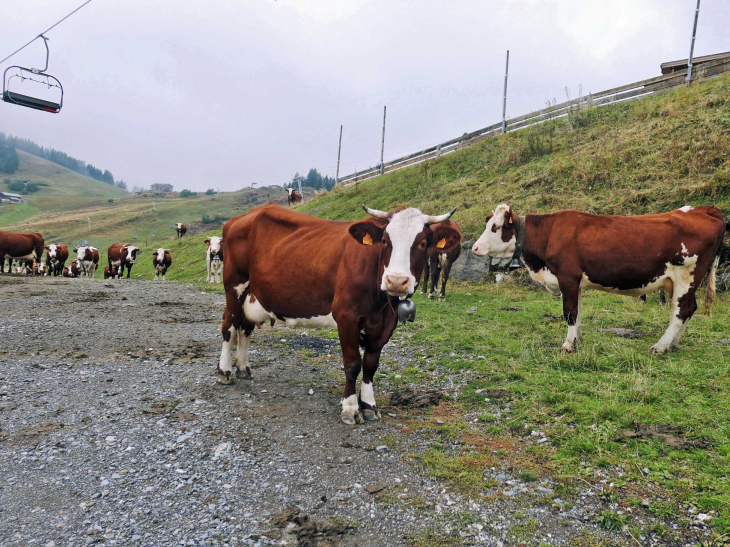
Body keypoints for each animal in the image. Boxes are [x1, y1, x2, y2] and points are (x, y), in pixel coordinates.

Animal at [216, 203, 458, 426]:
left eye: (422, 243)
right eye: (386, 242)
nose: (396, 281)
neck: (380, 301)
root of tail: (245, 215)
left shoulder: (385, 324)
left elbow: (371, 365)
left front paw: (369, 405)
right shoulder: (346, 317)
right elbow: (353, 364)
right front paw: (350, 408)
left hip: (254, 292)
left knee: (245, 327)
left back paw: (243, 367)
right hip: (235, 284)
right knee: (229, 325)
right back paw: (225, 371)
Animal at [470, 206, 724, 356]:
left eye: (495, 227)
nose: (474, 248)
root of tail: (703, 210)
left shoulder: (567, 277)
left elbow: (570, 312)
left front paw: (568, 345)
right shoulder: (575, 283)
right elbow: (578, 312)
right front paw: (577, 338)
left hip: (685, 276)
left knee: (681, 311)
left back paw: (661, 345)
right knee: (689, 309)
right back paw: (674, 343)